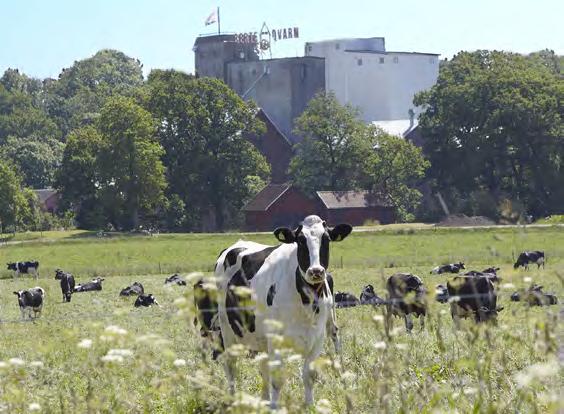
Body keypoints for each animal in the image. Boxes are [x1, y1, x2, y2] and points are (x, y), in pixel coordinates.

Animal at [200, 215, 352, 410]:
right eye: (300, 240)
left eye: (326, 239)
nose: (316, 271)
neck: (307, 303)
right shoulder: (276, 340)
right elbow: (277, 380)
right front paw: (275, 407)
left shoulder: (317, 338)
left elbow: (309, 376)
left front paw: (309, 405)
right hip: (227, 330)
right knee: (231, 365)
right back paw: (234, 399)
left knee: (263, 367)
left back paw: (264, 400)